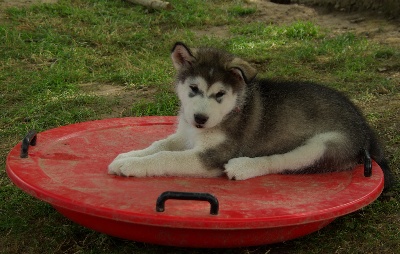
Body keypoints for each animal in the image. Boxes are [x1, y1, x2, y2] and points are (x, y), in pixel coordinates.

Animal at [108, 42, 394, 189]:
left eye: (220, 94)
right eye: (193, 88)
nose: (200, 119)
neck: (230, 111)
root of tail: (365, 128)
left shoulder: (212, 155)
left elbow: (166, 157)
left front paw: (131, 165)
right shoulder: (185, 134)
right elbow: (160, 145)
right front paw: (128, 155)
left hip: (325, 144)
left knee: (282, 161)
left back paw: (244, 167)